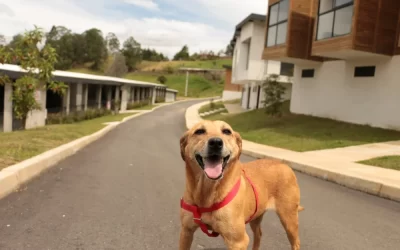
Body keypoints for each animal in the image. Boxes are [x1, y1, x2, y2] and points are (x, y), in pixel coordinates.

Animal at [178, 120, 304, 249]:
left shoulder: (237, 242)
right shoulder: (186, 232)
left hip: (289, 219)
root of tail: (284, 165)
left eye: (227, 131)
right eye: (199, 131)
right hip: (256, 215)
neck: (207, 193)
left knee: (296, 242)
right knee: (258, 234)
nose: (216, 143)